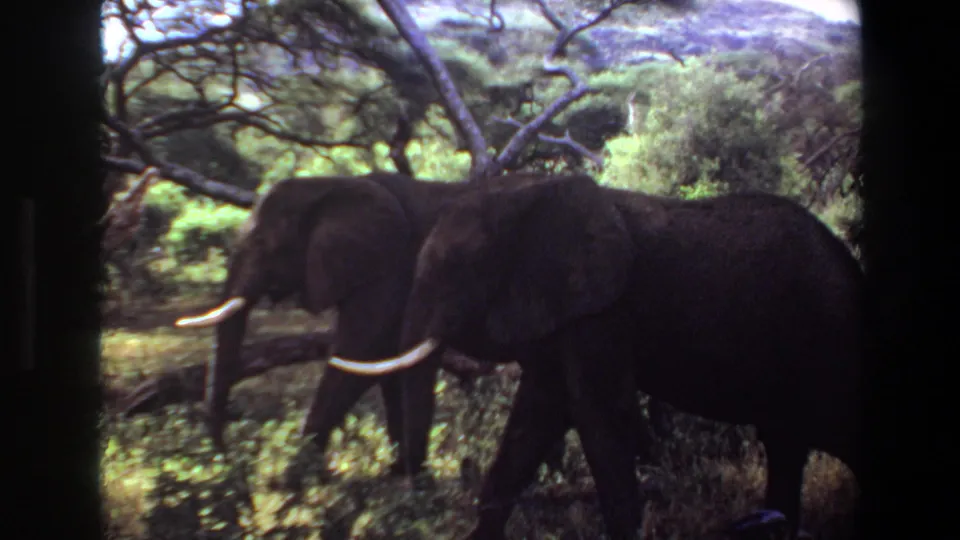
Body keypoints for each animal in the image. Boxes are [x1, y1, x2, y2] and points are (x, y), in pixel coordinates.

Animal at [173, 173, 668, 486]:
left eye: (263, 245)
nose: (224, 458)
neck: (332, 183)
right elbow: (384, 362)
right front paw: (397, 475)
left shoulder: (387, 266)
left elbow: (361, 353)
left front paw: (291, 481)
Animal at [329, 173, 864, 539]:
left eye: (457, 267)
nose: (408, 489)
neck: (530, 194)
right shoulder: (560, 313)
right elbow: (537, 416)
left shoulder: (602, 312)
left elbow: (596, 414)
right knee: (789, 442)